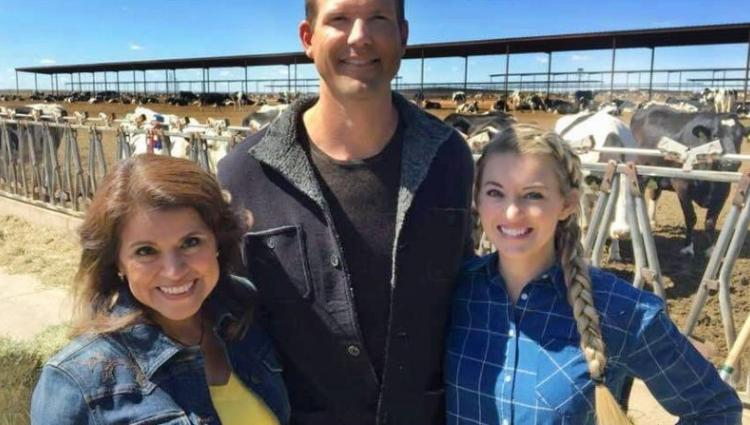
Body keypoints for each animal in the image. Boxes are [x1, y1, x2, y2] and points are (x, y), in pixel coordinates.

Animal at [632, 105, 748, 255]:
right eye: (715, 136)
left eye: (740, 137)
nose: (731, 163)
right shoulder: (682, 186)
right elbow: (691, 217)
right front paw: (688, 247)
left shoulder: (723, 191)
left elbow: (710, 221)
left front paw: (711, 249)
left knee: (654, 194)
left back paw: (652, 221)